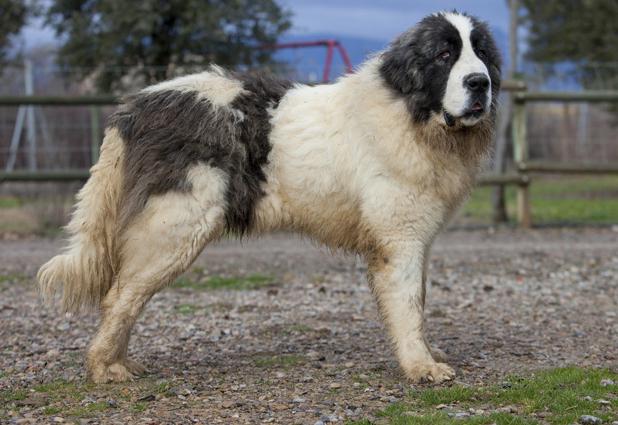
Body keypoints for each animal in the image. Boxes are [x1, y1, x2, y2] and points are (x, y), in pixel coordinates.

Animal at [38, 12, 500, 384]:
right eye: (444, 55)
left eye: (480, 53)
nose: (481, 82)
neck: (409, 112)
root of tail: (136, 105)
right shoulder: (400, 240)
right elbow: (407, 305)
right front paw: (421, 366)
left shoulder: (418, 239)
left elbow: (418, 301)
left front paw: (427, 354)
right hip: (175, 227)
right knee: (120, 296)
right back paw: (104, 367)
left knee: (125, 295)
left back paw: (120, 362)